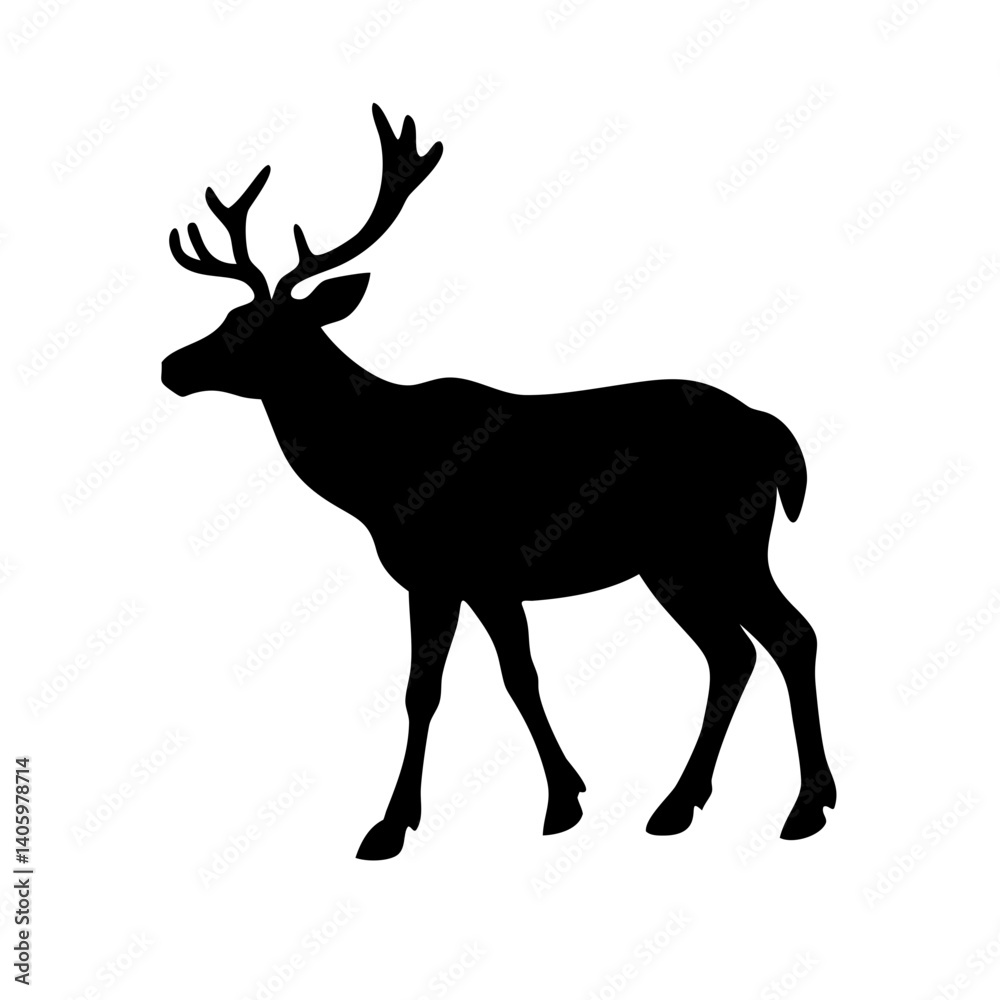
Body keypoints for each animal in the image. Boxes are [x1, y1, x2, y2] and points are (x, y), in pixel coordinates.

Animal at [162, 104, 836, 860]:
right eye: (226, 315)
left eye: (267, 327)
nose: (172, 365)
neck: (375, 475)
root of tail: (778, 437)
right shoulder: (459, 581)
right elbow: (472, 684)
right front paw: (546, 799)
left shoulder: (464, 571)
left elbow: (475, 684)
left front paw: (418, 821)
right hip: (672, 564)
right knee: (732, 654)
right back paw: (679, 803)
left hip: (728, 540)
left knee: (791, 636)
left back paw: (806, 807)